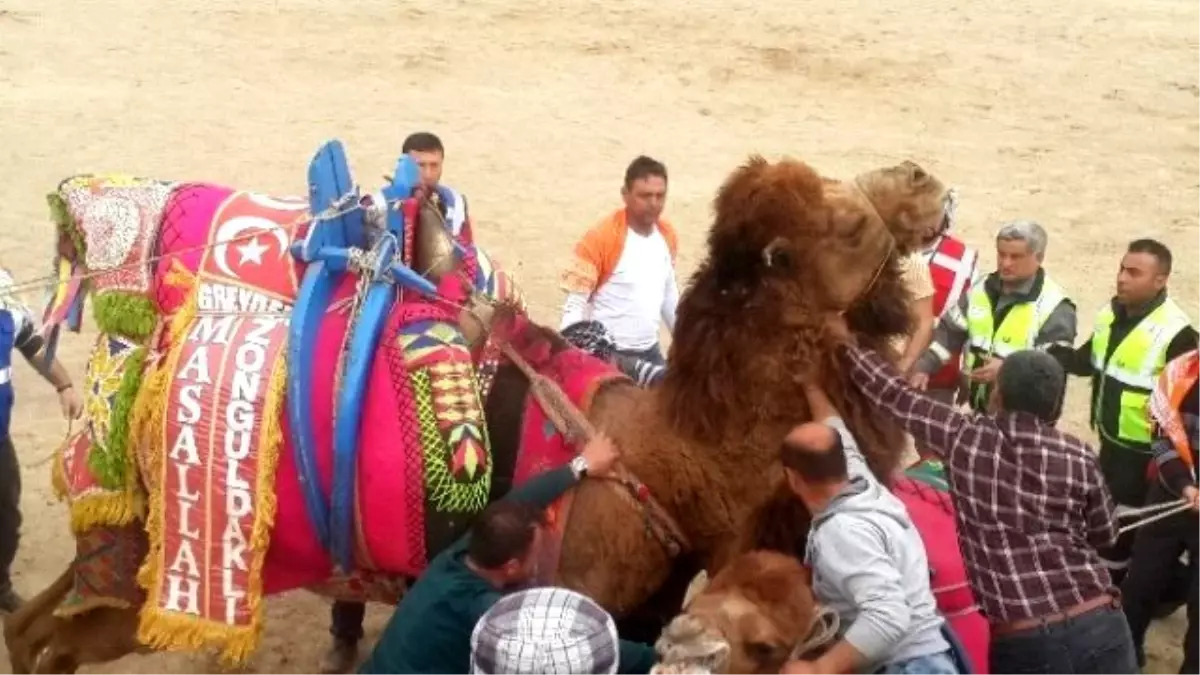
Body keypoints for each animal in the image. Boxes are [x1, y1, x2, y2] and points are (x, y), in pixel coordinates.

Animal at [7, 149, 945, 667]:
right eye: (847, 220)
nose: (925, 183)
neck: (668, 469)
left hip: (120, 542)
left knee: (31, 625)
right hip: (146, 579)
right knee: (54, 641)